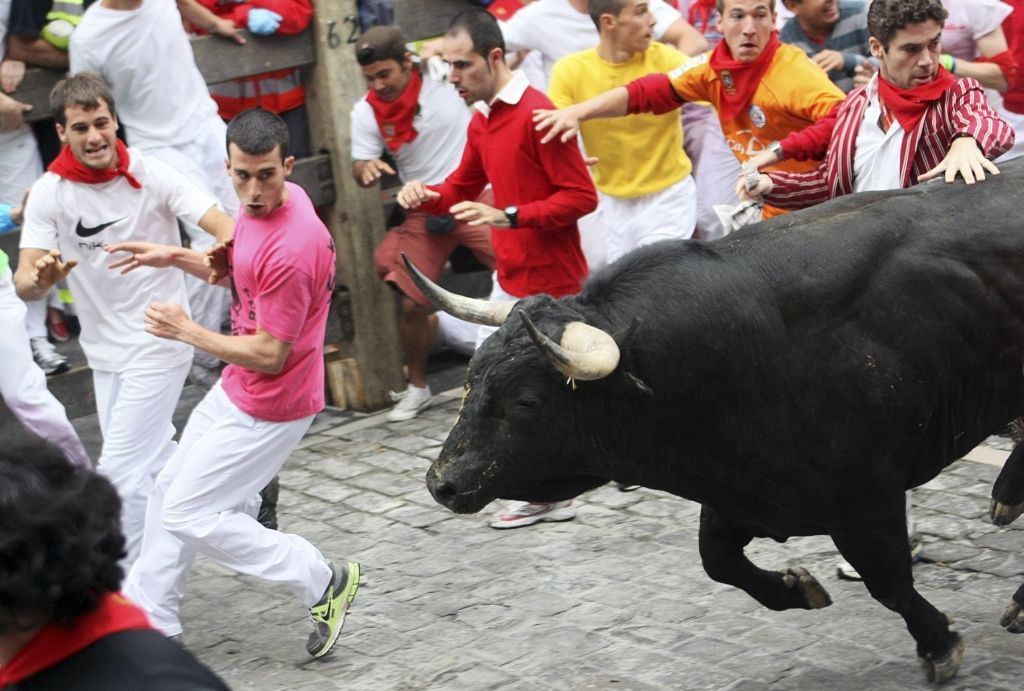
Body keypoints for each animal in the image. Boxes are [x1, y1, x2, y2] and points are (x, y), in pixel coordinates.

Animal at [403, 155, 1024, 679]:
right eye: (471, 376)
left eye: (527, 401)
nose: (442, 484)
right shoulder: (737, 497)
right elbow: (718, 562)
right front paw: (797, 588)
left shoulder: (865, 499)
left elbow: (889, 582)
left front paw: (938, 645)